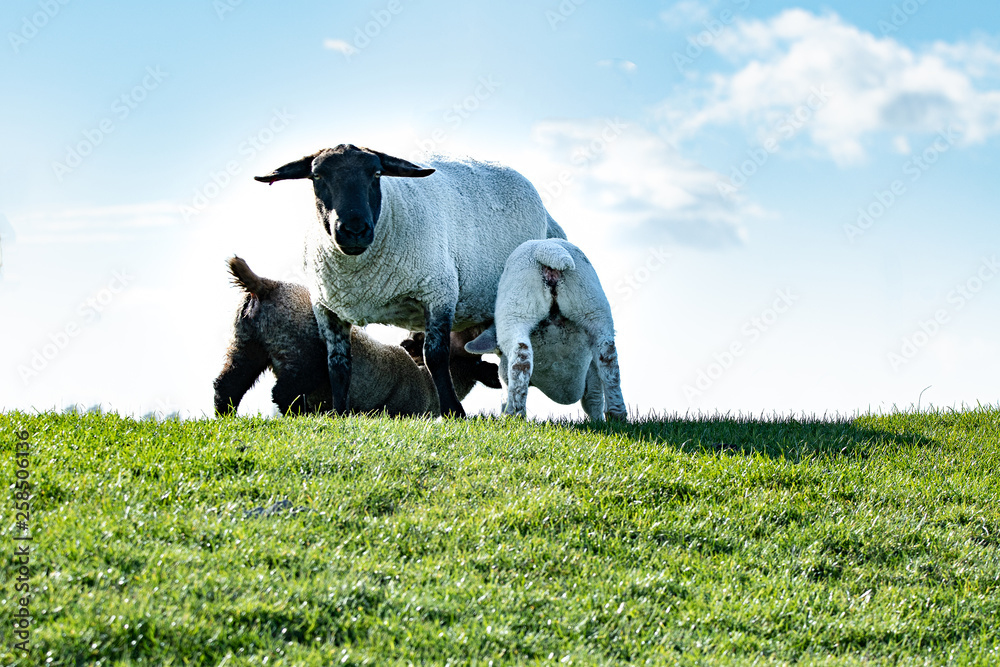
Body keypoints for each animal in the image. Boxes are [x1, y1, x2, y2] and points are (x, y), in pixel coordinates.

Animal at [213, 257, 500, 416]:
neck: (426, 382)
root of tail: (267, 286)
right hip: (302, 357)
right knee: (283, 393)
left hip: (247, 344)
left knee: (226, 385)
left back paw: (225, 417)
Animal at [254, 145, 559, 417]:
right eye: (317, 175)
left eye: (376, 173)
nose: (354, 230)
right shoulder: (327, 308)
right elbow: (338, 365)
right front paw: (339, 412)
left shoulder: (439, 292)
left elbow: (435, 355)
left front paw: (453, 412)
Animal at [464, 238, 627, 421]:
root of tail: (546, 248)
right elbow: (594, 393)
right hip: (592, 305)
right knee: (608, 358)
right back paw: (617, 414)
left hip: (517, 307)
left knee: (521, 358)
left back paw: (514, 415)